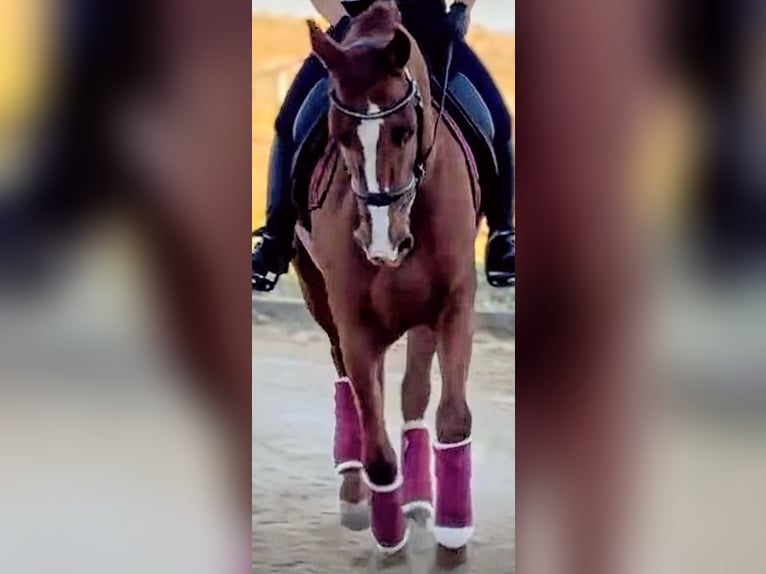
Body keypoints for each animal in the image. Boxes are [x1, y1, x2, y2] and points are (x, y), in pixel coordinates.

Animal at [293, 1, 481, 566]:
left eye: (402, 130)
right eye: (338, 134)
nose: (381, 241)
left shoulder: (455, 305)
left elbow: (452, 418)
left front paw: (452, 539)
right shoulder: (354, 321)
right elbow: (376, 448)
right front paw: (389, 538)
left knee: (413, 394)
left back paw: (418, 501)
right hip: (322, 300)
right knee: (353, 389)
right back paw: (359, 496)